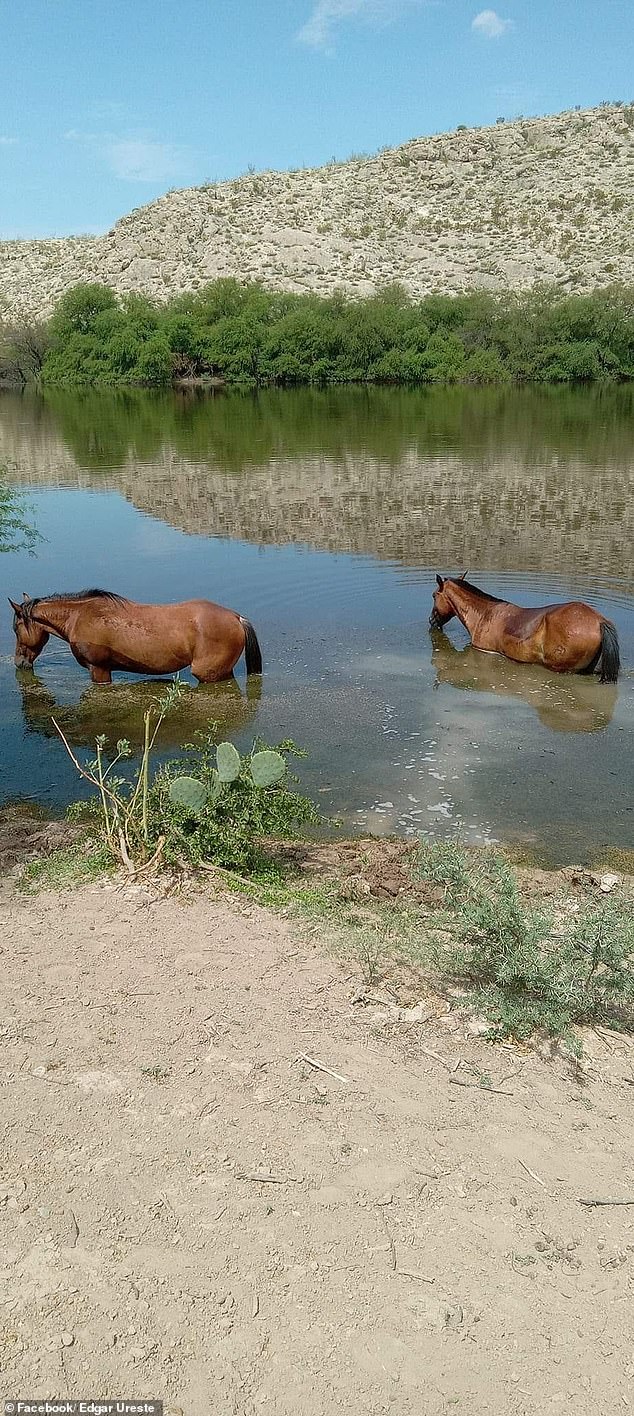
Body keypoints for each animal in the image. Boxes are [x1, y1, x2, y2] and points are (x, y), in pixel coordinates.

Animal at [9, 589, 263, 688]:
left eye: (16, 628)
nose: (19, 662)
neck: (79, 616)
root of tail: (236, 617)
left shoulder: (99, 670)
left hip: (209, 674)